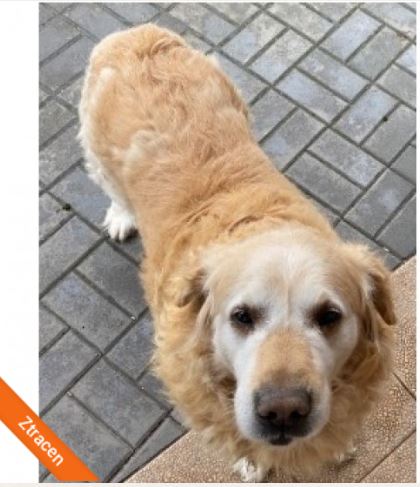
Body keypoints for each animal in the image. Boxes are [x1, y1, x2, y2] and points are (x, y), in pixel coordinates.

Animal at [79, 24, 396, 482]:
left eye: (329, 316)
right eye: (241, 317)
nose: (283, 412)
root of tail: (139, 31)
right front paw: (252, 459)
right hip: (98, 153)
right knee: (113, 189)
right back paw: (121, 215)